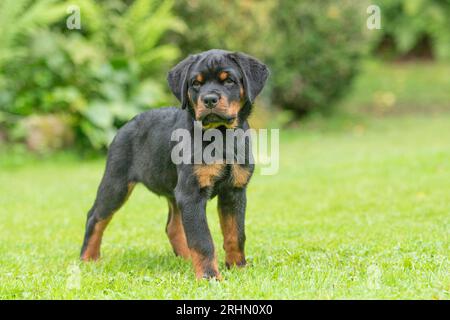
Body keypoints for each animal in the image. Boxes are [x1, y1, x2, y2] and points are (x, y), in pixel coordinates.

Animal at [79, 48, 268, 278]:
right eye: (195, 83)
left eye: (229, 80)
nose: (209, 99)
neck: (220, 136)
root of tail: (126, 123)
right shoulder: (191, 193)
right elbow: (202, 240)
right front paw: (209, 276)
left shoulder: (234, 190)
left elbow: (235, 234)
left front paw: (238, 267)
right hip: (117, 182)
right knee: (95, 216)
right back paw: (88, 258)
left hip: (172, 190)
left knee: (173, 226)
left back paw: (185, 258)